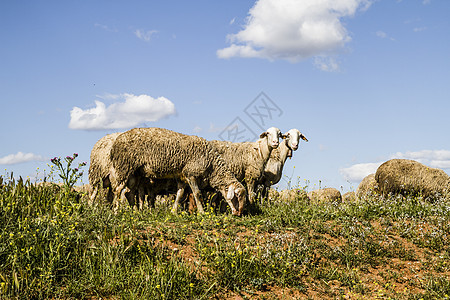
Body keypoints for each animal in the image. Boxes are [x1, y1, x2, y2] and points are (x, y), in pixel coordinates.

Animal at [110, 126, 248, 216]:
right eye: (238, 196)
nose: (238, 213)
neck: (211, 165)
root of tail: (115, 144)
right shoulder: (190, 173)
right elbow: (197, 193)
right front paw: (202, 212)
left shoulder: (183, 177)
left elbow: (179, 194)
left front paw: (174, 211)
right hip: (124, 167)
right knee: (117, 190)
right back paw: (115, 212)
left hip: (135, 173)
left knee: (128, 192)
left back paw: (136, 212)